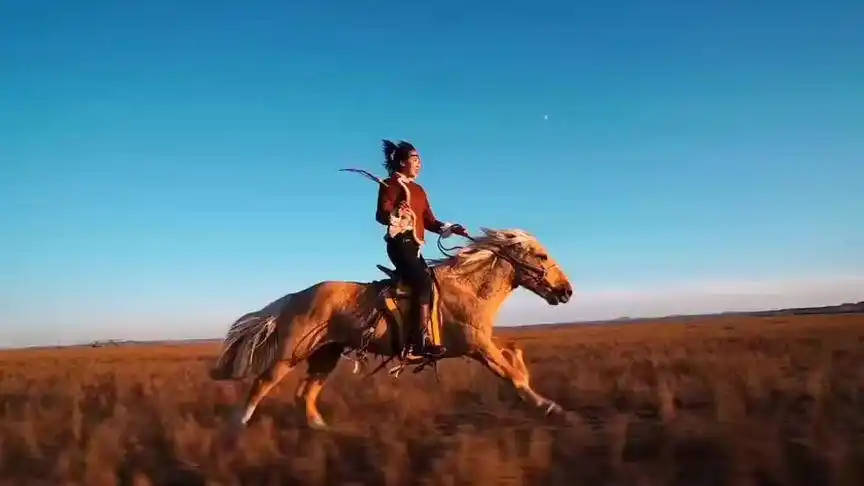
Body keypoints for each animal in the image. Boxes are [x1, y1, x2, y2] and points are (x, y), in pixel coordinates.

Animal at [209, 227, 574, 430]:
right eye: (542, 256)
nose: (567, 290)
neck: (468, 287)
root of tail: (295, 297)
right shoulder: (476, 345)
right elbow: (512, 375)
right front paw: (551, 407)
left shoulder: (484, 342)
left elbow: (515, 355)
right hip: (289, 355)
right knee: (261, 385)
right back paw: (237, 429)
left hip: (326, 355)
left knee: (305, 394)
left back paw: (322, 428)